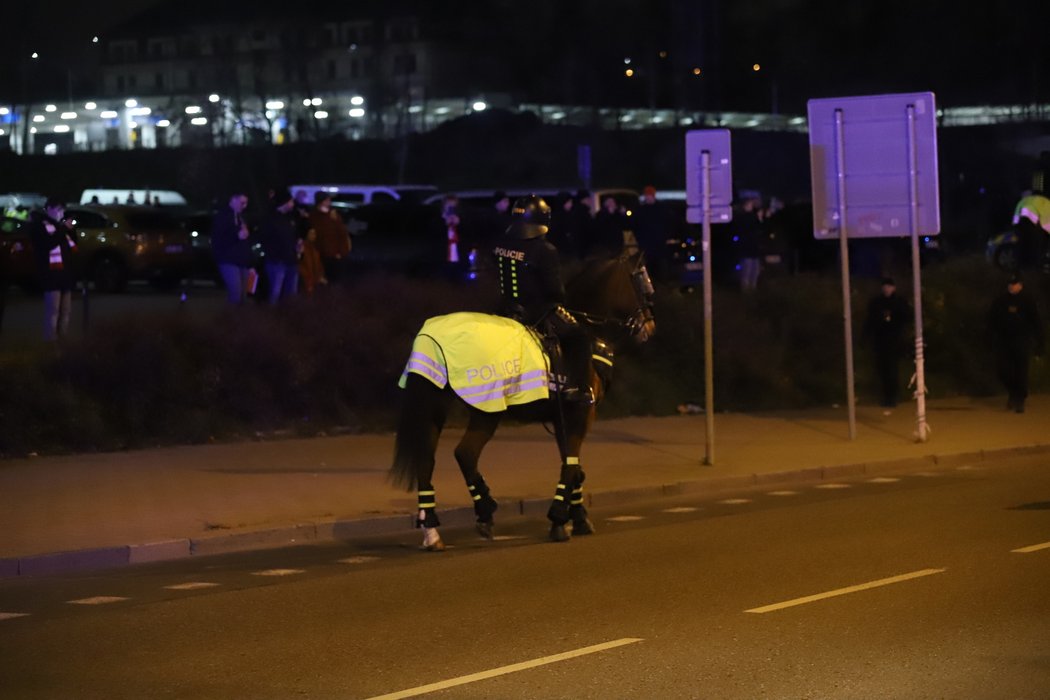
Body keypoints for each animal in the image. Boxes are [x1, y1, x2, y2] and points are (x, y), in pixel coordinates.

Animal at [390, 248, 651, 549]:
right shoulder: (582, 414)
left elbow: (572, 464)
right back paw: (485, 511)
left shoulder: (562, 419)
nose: (650, 326)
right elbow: (572, 465)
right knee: (465, 454)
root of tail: (431, 334)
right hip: (487, 410)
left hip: (436, 410)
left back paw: (432, 531)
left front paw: (577, 517)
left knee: (426, 461)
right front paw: (561, 519)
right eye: (643, 282)